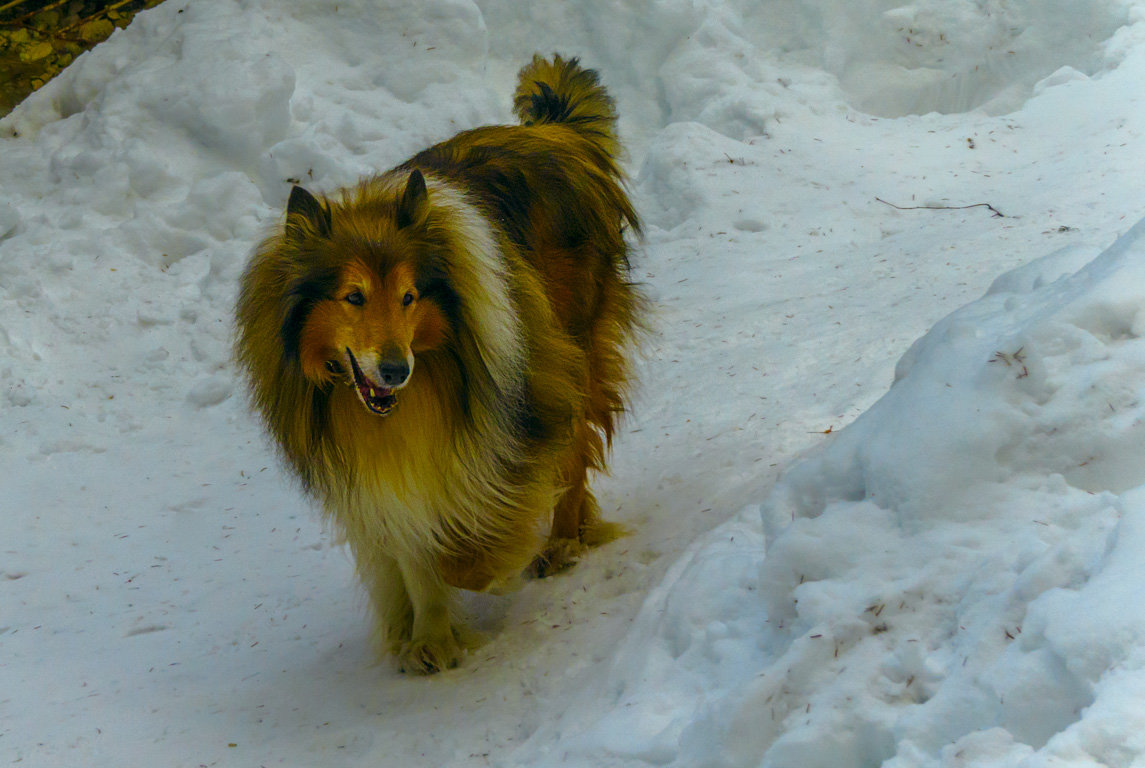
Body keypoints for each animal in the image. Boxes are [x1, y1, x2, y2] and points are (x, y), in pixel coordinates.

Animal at [232, 54, 645, 673]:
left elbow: (463, 543)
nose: (394, 370)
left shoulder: (513, 411)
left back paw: (561, 541)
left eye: (409, 296)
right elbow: (410, 545)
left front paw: (480, 571)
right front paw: (426, 635)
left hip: (576, 350)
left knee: (574, 455)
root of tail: (555, 134)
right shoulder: (382, 472)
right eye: (353, 296)